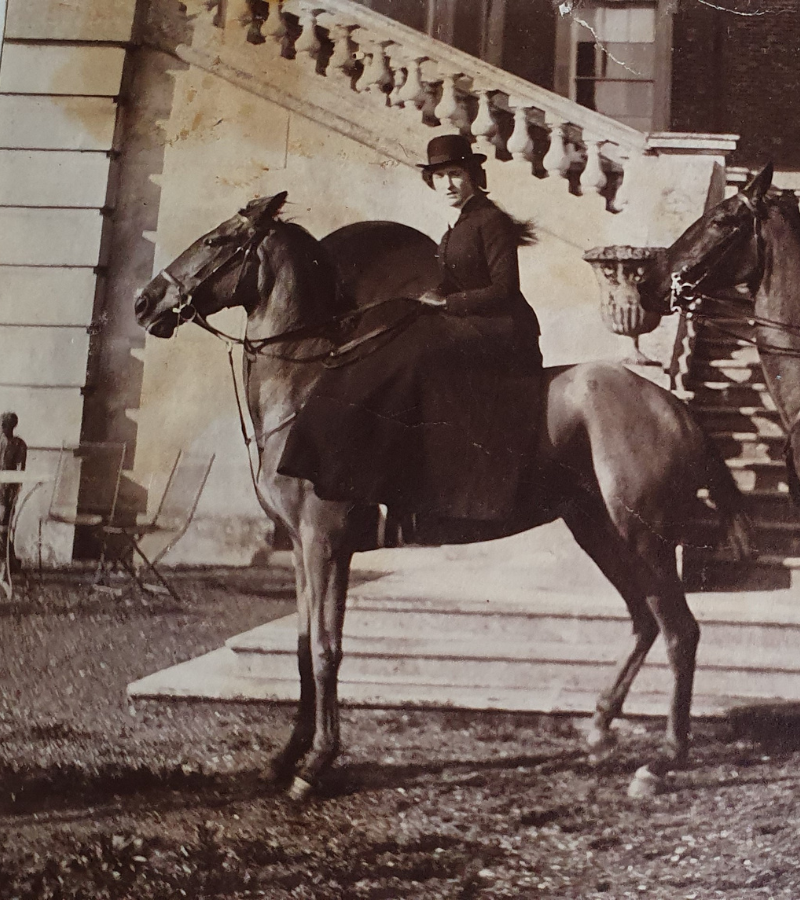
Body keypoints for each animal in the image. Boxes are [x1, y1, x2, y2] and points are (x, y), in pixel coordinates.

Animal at [134, 192, 751, 801]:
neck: (305, 388)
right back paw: (600, 729)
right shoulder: (302, 548)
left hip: (646, 539)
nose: (145, 302)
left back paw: (665, 760)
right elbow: (305, 650)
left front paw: (316, 764)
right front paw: (286, 757)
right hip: (600, 533)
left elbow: (327, 650)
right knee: (644, 621)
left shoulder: (325, 541)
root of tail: (672, 407)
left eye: (216, 240)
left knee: (680, 631)